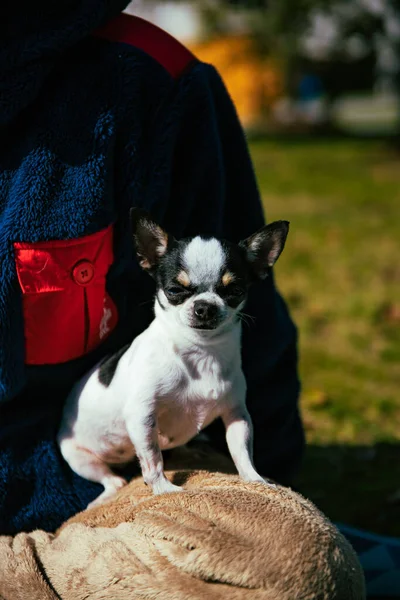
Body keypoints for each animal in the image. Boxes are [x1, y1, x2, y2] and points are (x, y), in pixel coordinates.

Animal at [57, 209, 290, 508]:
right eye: (175, 291)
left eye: (235, 291)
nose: (205, 306)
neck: (202, 352)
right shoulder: (143, 416)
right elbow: (152, 459)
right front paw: (164, 490)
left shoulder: (236, 414)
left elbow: (242, 451)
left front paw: (255, 480)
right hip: (78, 456)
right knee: (115, 481)